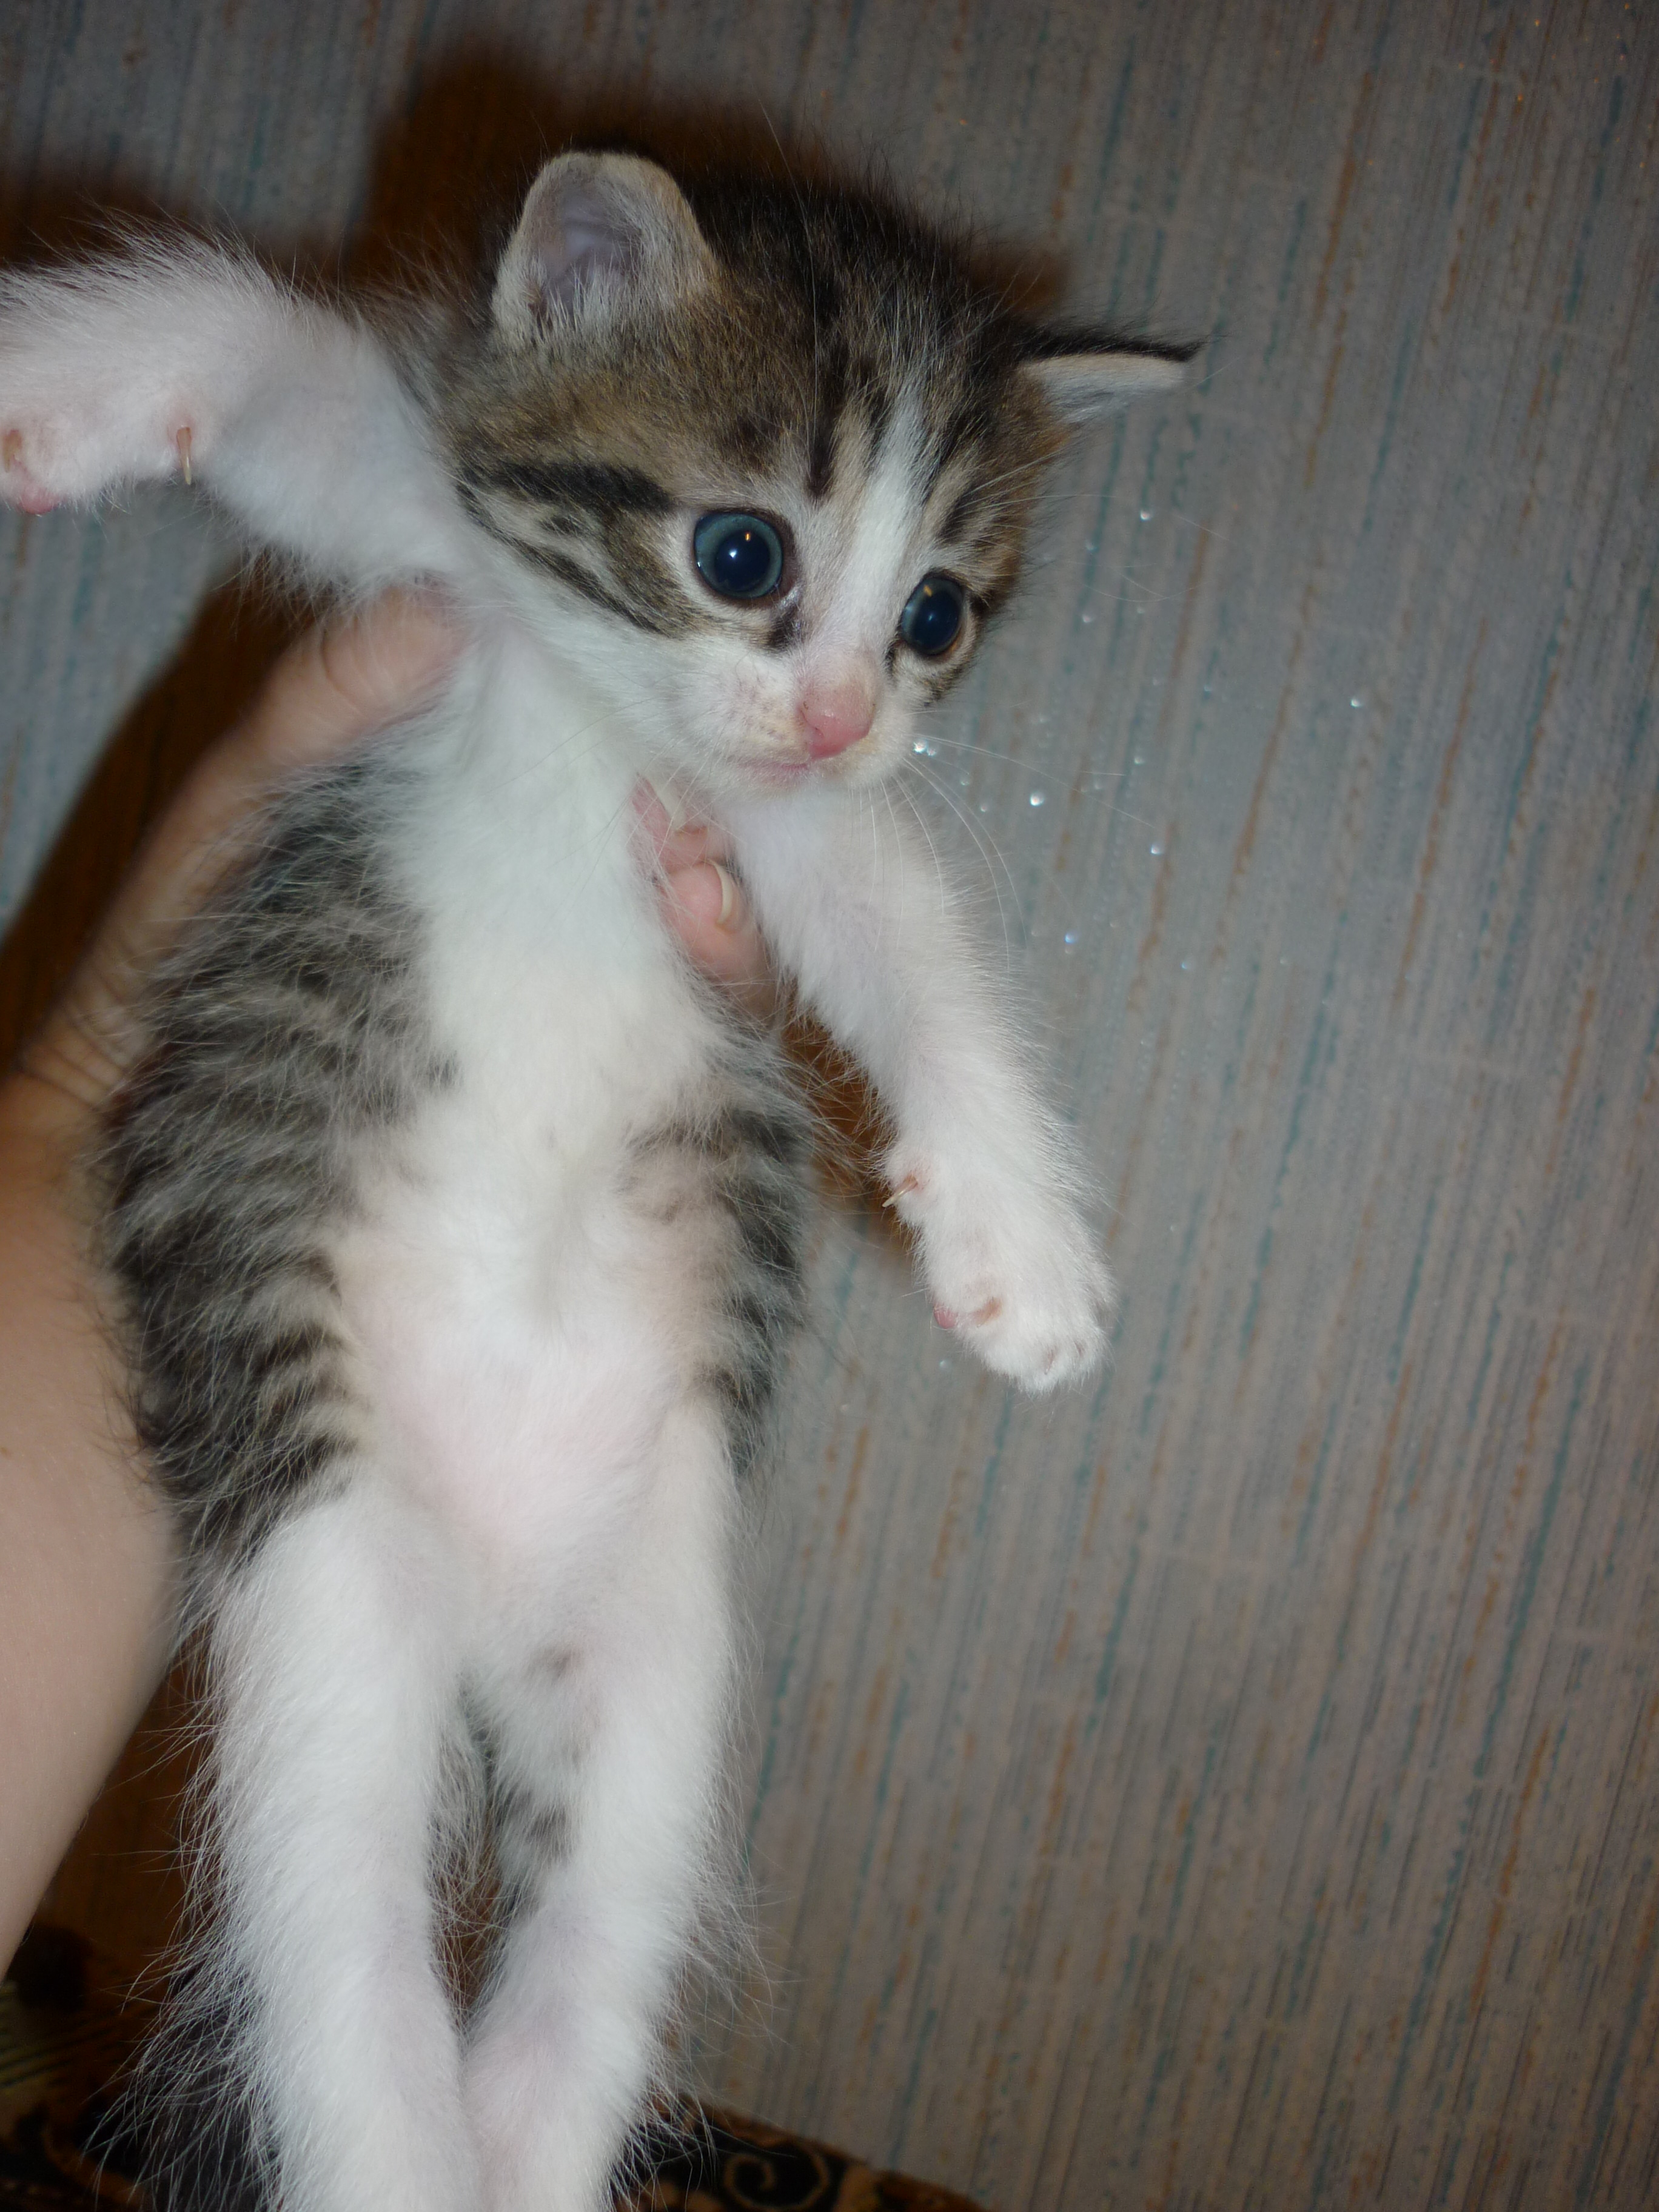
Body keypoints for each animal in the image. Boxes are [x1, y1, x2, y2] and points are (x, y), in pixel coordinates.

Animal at [0, 152, 1187, 2212]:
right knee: (338, 1941)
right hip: (327, 1590)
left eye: (938, 613)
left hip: (648, 1654)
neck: (602, 714)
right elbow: (268, 349)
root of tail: (486, 1600)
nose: (845, 713)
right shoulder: (416, 527)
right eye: (744, 555)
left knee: (589, 1952)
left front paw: (1020, 1244)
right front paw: (50, 386)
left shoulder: (770, 834)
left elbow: (904, 932)